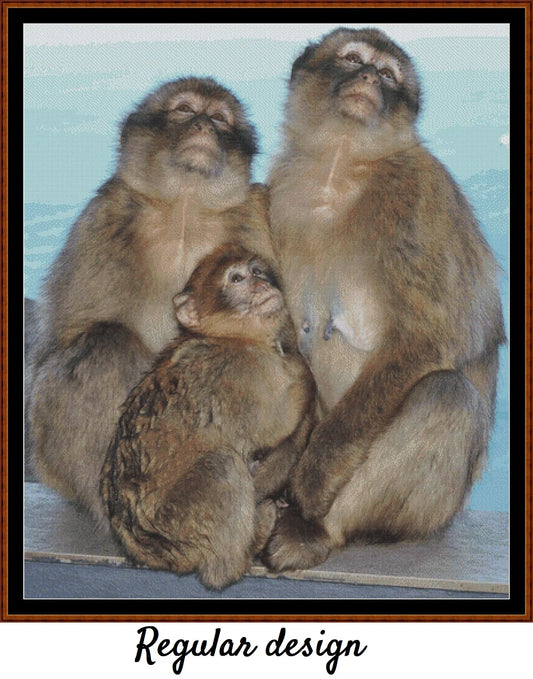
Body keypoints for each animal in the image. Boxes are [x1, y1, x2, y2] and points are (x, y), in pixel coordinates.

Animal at [28, 77, 275, 525]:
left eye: (219, 118)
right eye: (184, 109)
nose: (202, 126)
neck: (185, 208)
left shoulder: (253, 221)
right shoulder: (104, 218)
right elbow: (64, 338)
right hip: (49, 459)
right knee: (103, 345)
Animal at [100, 243, 316, 589]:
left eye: (257, 271)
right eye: (237, 279)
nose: (262, 284)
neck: (233, 338)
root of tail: (151, 552)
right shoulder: (238, 372)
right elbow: (272, 425)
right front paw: (301, 370)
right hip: (179, 521)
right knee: (222, 465)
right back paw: (245, 546)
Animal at [263, 28, 506, 572]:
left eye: (390, 75)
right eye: (353, 58)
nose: (371, 77)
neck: (340, 168)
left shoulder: (415, 198)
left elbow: (428, 339)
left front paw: (309, 483)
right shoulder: (278, 196)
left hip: (435, 509)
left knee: (446, 395)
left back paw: (318, 529)